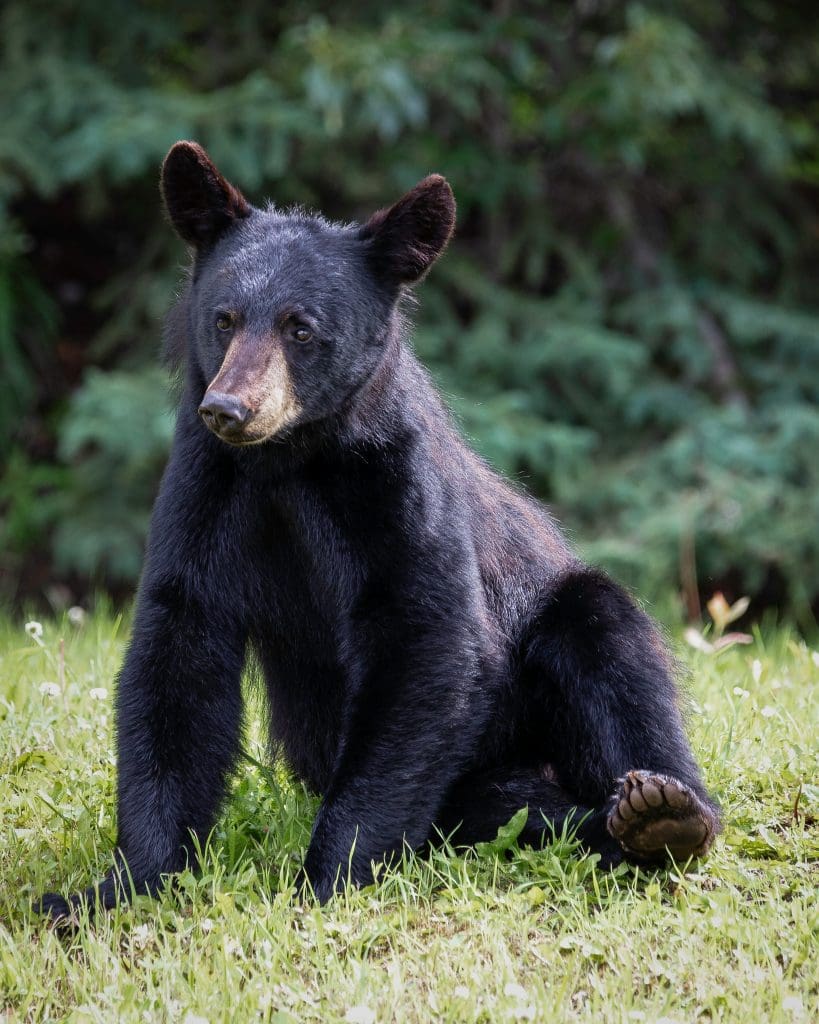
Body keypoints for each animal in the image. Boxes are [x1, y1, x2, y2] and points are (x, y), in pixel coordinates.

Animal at [38, 141, 721, 923]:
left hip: (557, 633)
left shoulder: (396, 487)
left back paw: (661, 813)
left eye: (301, 328)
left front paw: (327, 878)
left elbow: (423, 639)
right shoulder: (205, 489)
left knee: (609, 652)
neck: (291, 462)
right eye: (224, 317)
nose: (229, 408)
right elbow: (178, 652)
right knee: (508, 808)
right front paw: (117, 887)